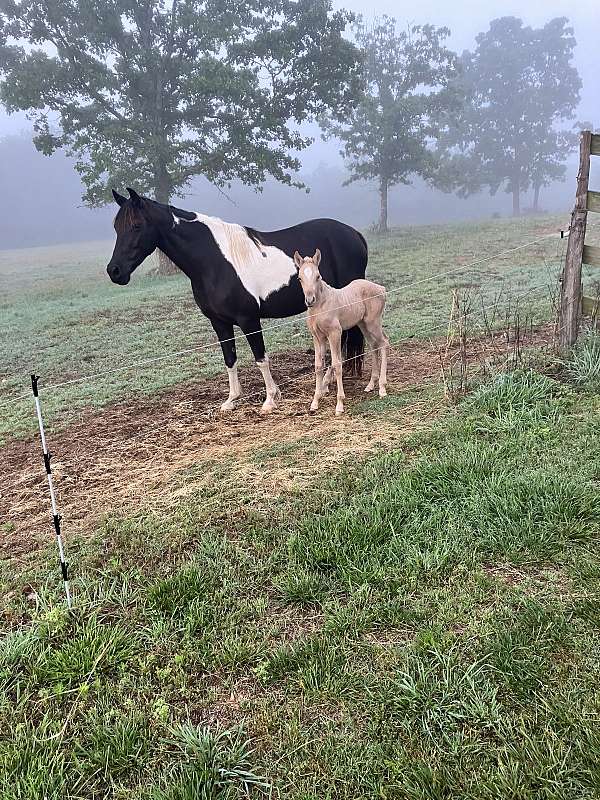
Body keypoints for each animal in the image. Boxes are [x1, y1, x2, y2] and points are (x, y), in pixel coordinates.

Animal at [108, 189, 368, 412]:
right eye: (116, 227)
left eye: (136, 225)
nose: (114, 271)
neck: (214, 262)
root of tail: (355, 234)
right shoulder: (219, 322)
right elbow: (230, 359)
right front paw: (232, 400)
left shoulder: (248, 320)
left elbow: (260, 358)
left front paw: (270, 399)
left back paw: (324, 385)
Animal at [296, 248, 390, 412]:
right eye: (299, 278)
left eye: (318, 276)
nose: (310, 300)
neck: (321, 306)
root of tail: (381, 288)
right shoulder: (317, 336)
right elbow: (318, 365)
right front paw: (315, 401)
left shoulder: (335, 333)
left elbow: (337, 364)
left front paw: (339, 404)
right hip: (363, 324)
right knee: (374, 345)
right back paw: (371, 385)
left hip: (373, 322)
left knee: (383, 342)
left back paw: (382, 388)